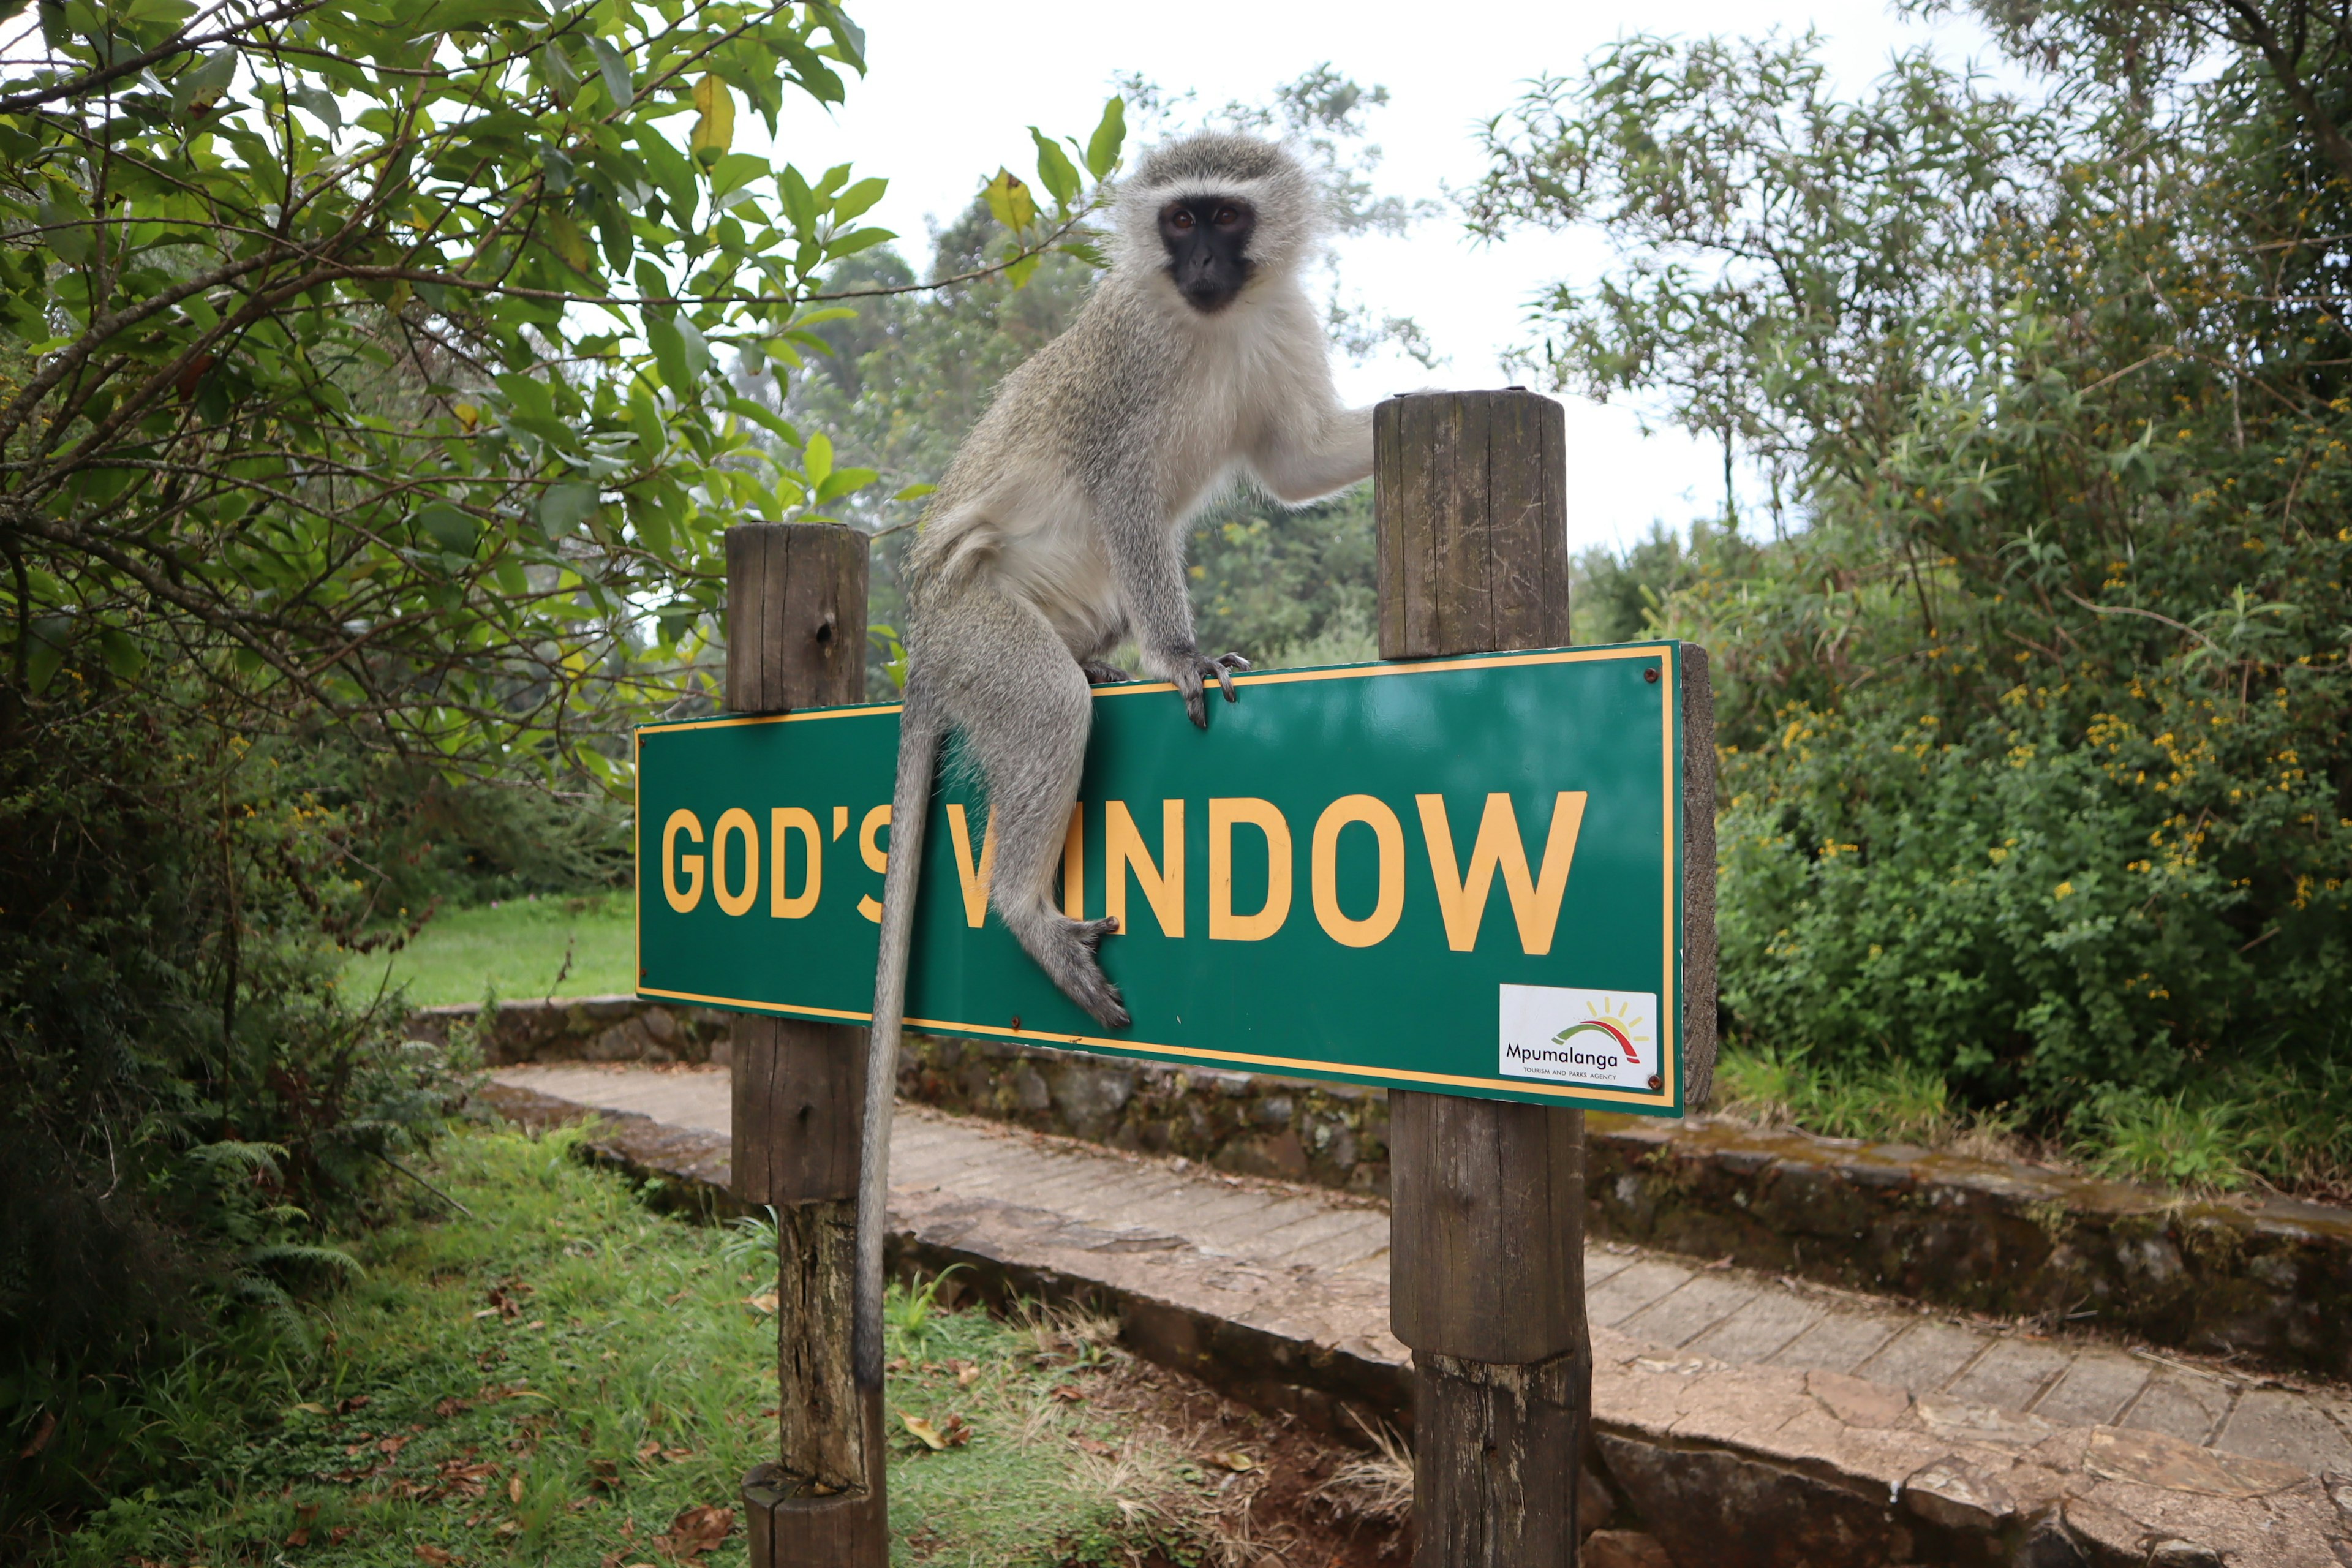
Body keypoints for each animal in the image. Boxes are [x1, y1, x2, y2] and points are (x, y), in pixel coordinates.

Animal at [861, 131, 1373, 1382]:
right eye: (1178, 220)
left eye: (1225, 221)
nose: (1200, 267)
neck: (1207, 325)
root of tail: (923, 642)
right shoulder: (1126, 373)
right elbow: (1130, 495)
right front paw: (1182, 652)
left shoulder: (1281, 322)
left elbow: (1298, 462)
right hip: (980, 631)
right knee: (1044, 709)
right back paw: (1025, 901)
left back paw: (1106, 671)